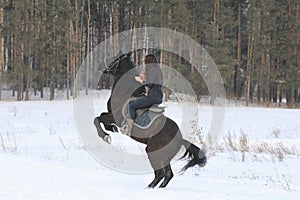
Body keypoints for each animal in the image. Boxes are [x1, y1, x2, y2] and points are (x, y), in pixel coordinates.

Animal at [94, 51, 206, 188]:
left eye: (116, 60)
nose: (101, 67)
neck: (124, 92)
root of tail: (180, 139)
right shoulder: (110, 115)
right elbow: (101, 118)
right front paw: (111, 129)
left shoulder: (114, 117)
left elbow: (97, 119)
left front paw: (106, 136)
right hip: (163, 157)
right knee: (167, 175)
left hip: (153, 152)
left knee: (161, 174)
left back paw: (149, 188)